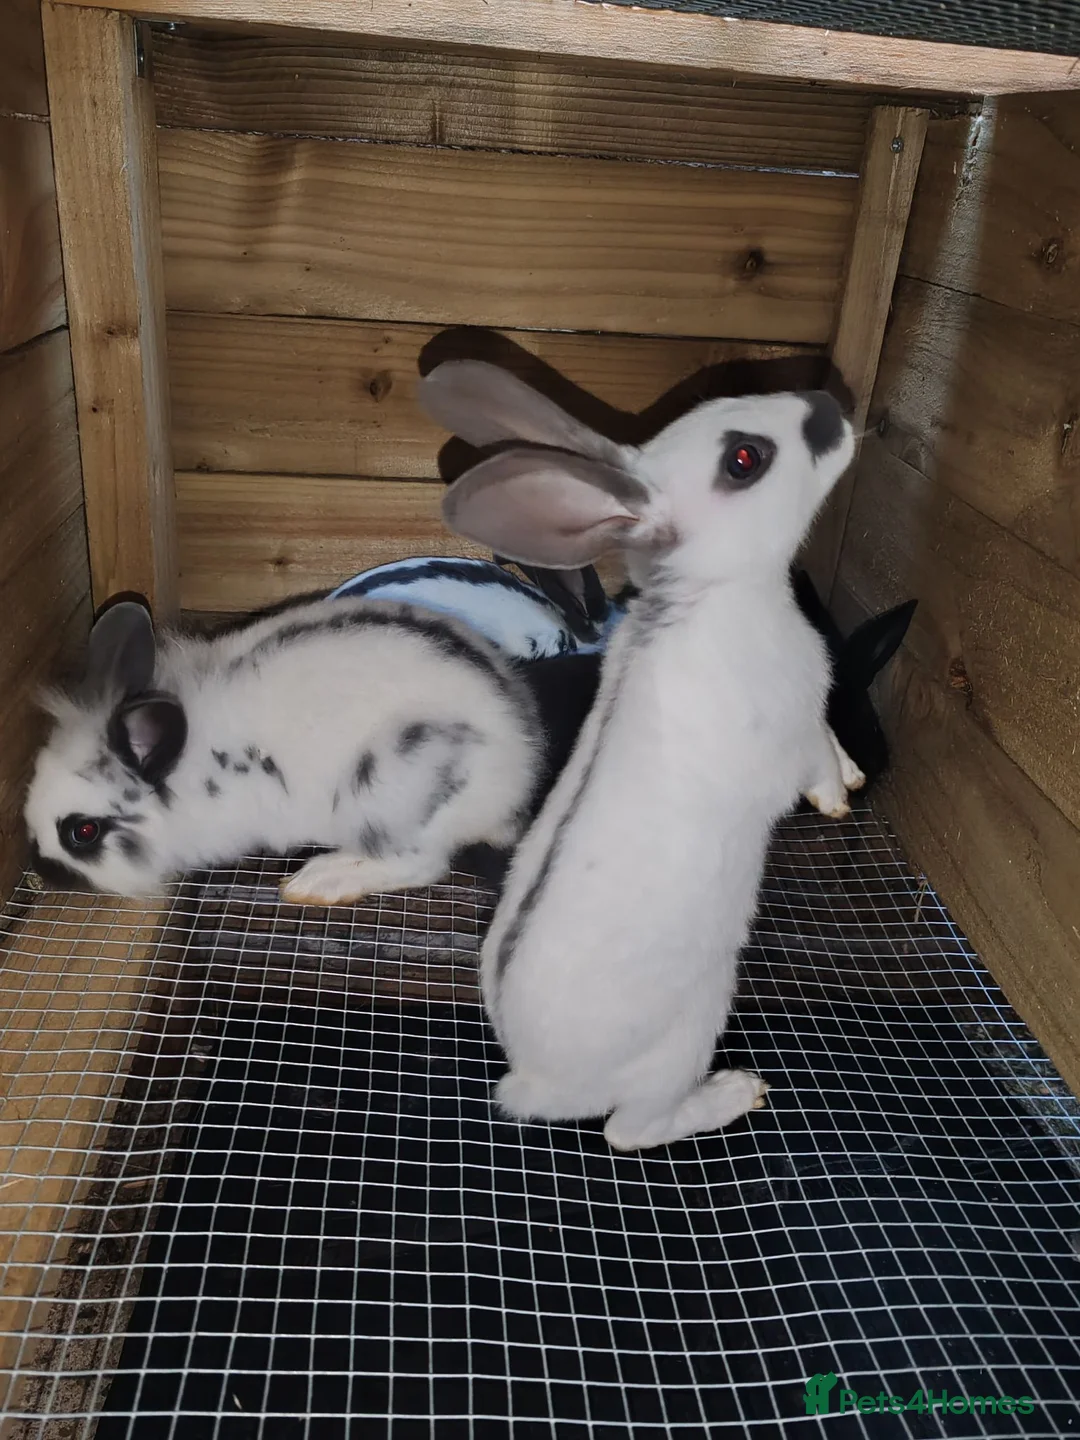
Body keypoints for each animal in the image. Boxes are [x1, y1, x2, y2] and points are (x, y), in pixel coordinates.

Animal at [23, 593, 544, 905]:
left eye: (83, 832)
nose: (41, 866)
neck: (183, 774)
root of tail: (519, 776)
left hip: (388, 793)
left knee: (424, 863)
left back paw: (316, 882)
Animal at [419, 359, 860, 1151]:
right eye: (743, 459)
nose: (829, 404)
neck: (715, 590)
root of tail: (532, 1083)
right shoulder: (795, 723)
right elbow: (814, 760)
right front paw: (837, 798)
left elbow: (833, 744)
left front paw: (851, 775)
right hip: (689, 1033)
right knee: (630, 1131)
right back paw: (735, 1093)